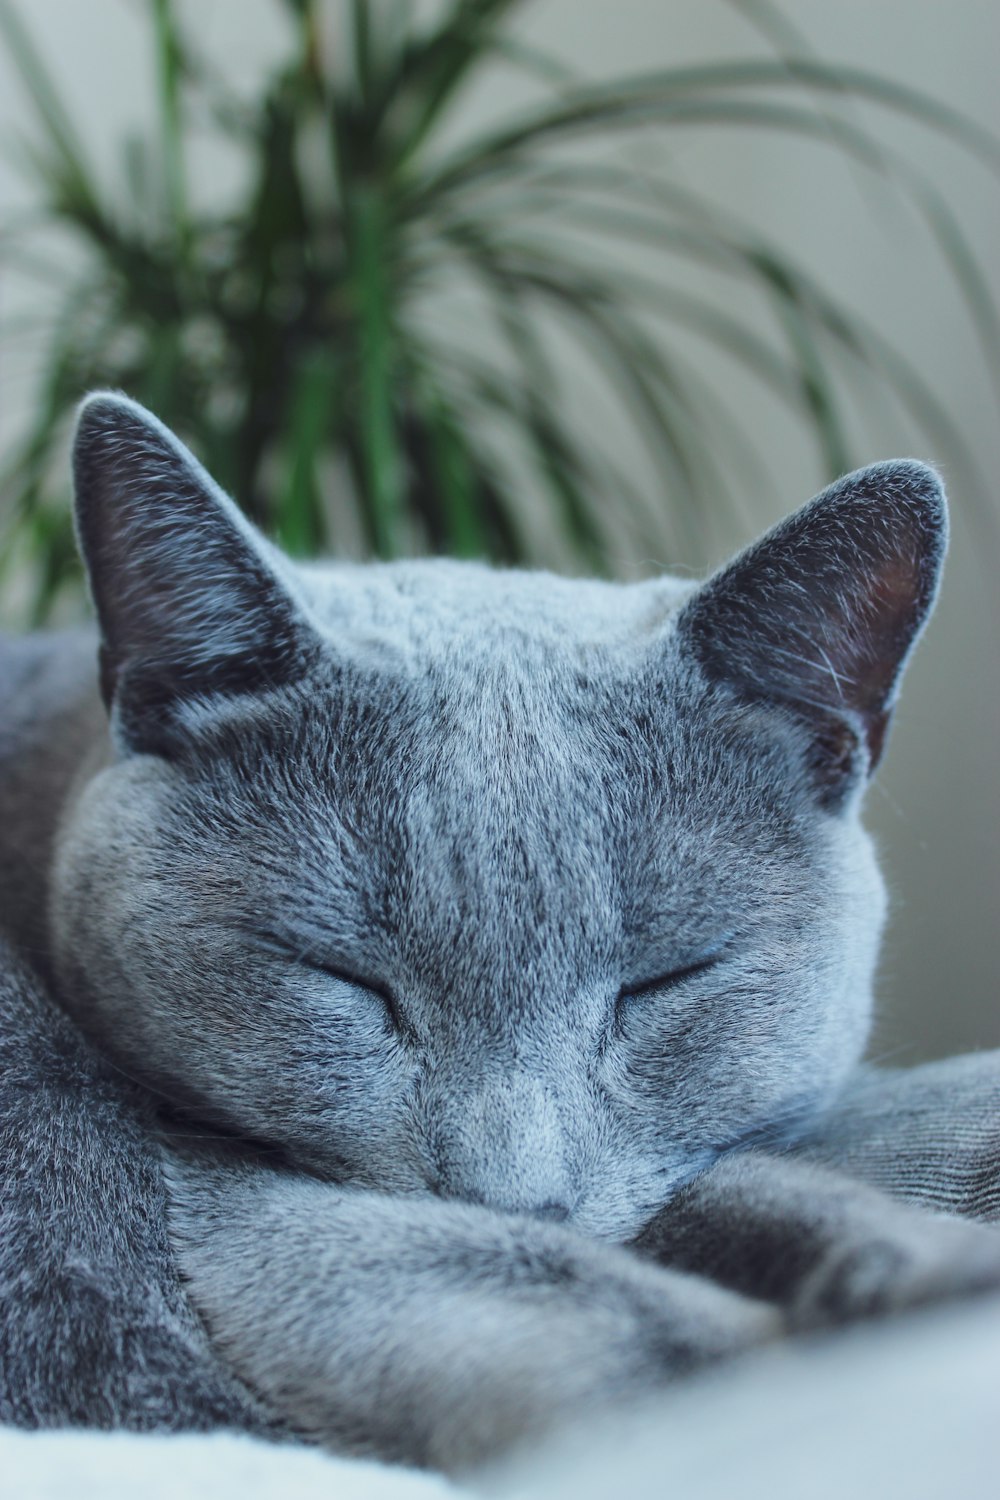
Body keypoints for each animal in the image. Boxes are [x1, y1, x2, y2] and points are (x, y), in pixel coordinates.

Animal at [1, 393, 1000, 1470]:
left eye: (666, 981)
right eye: (342, 976)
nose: (508, 1196)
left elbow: (746, 1189)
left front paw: (926, 1270)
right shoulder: (233, 1208)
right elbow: (611, 1318)